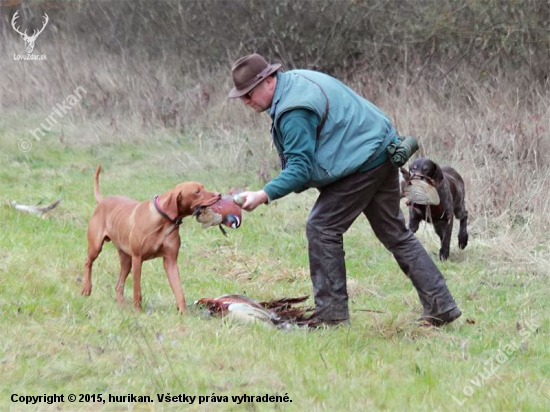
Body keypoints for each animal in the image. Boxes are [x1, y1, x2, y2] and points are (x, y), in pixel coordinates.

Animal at [82, 164, 220, 312]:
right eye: (197, 192)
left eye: (203, 187)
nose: (219, 194)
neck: (164, 220)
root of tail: (103, 201)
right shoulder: (137, 258)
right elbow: (137, 290)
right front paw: (138, 311)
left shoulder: (170, 261)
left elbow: (179, 291)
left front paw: (183, 312)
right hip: (97, 247)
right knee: (88, 262)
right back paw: (86, 288)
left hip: (126, 259)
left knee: (119, 285)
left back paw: (122, 307)